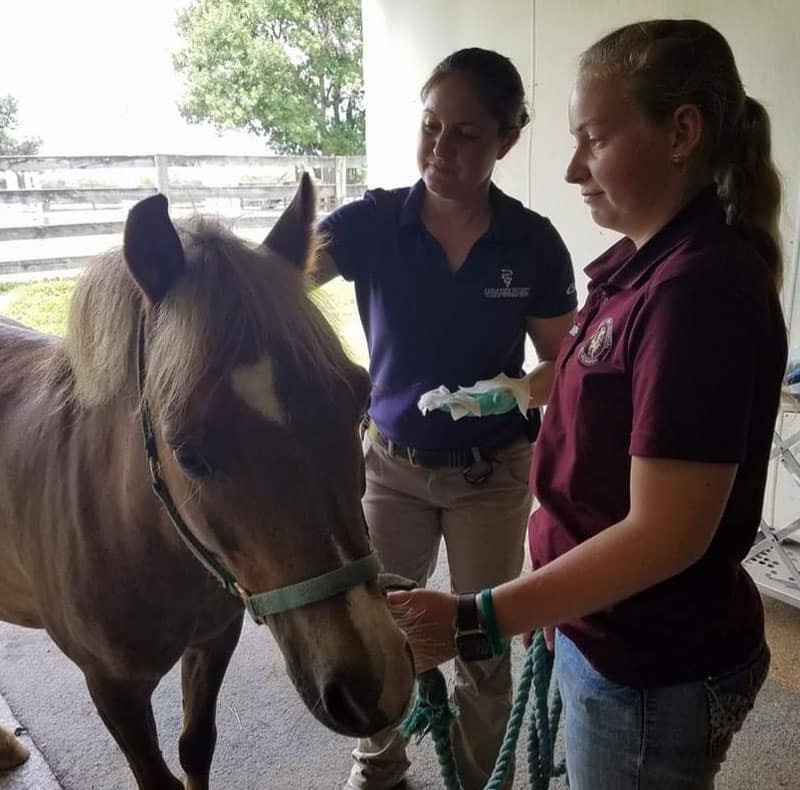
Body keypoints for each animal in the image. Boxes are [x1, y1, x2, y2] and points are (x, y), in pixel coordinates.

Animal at [0, 175, 415, 789]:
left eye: (361, 401)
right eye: (189, 454)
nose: (375, 684)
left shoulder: (215, 640)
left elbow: (196, 746)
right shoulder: (112, 689)